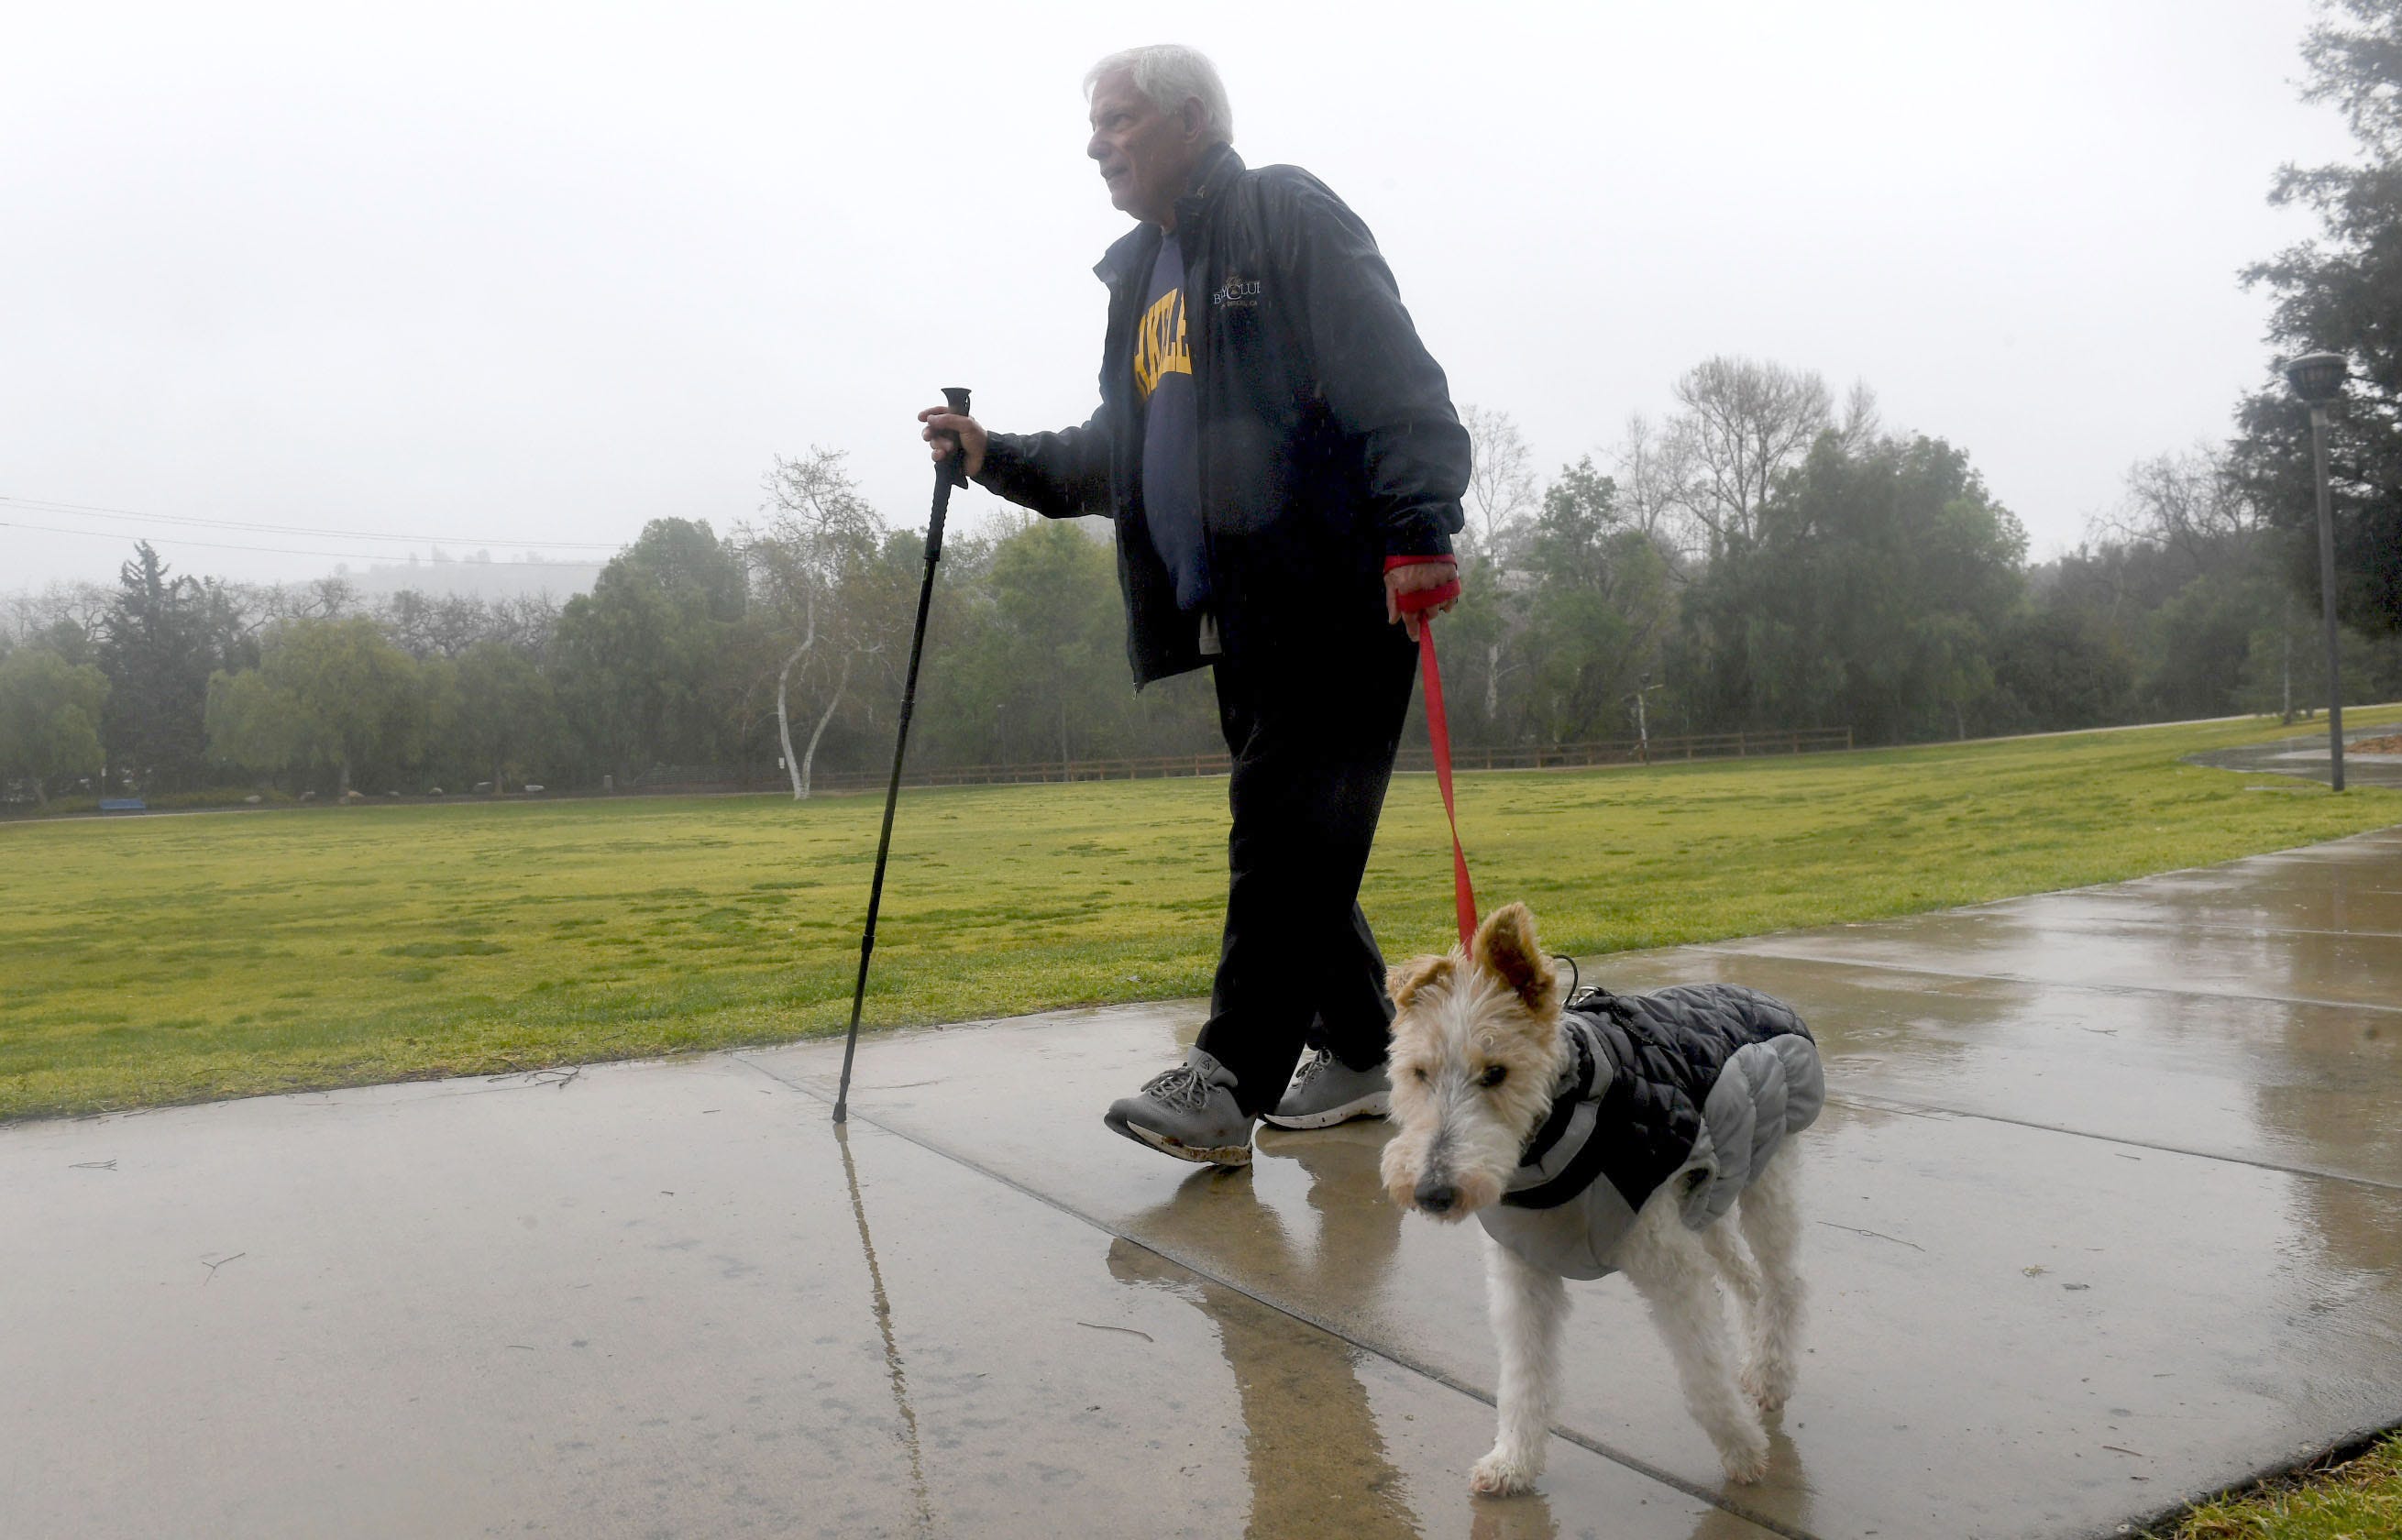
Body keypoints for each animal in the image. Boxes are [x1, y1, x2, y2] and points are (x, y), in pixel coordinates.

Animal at [1383, 903, 1825, 1489]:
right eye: (1418, 1073)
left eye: (1496, 1072)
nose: (1433, 1192)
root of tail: (1761, 995)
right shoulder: (1523, 1274)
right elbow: (1522, 1378)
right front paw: (1513, 1462)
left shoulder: (1669, 1268)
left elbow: (1703, 1378)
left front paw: (1744, 1452)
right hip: (1708, 1203)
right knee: (1749, 1284)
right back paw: (1756, 1368)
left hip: (1767, 1182)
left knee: (1785, 1284)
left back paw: (1772, 1378)